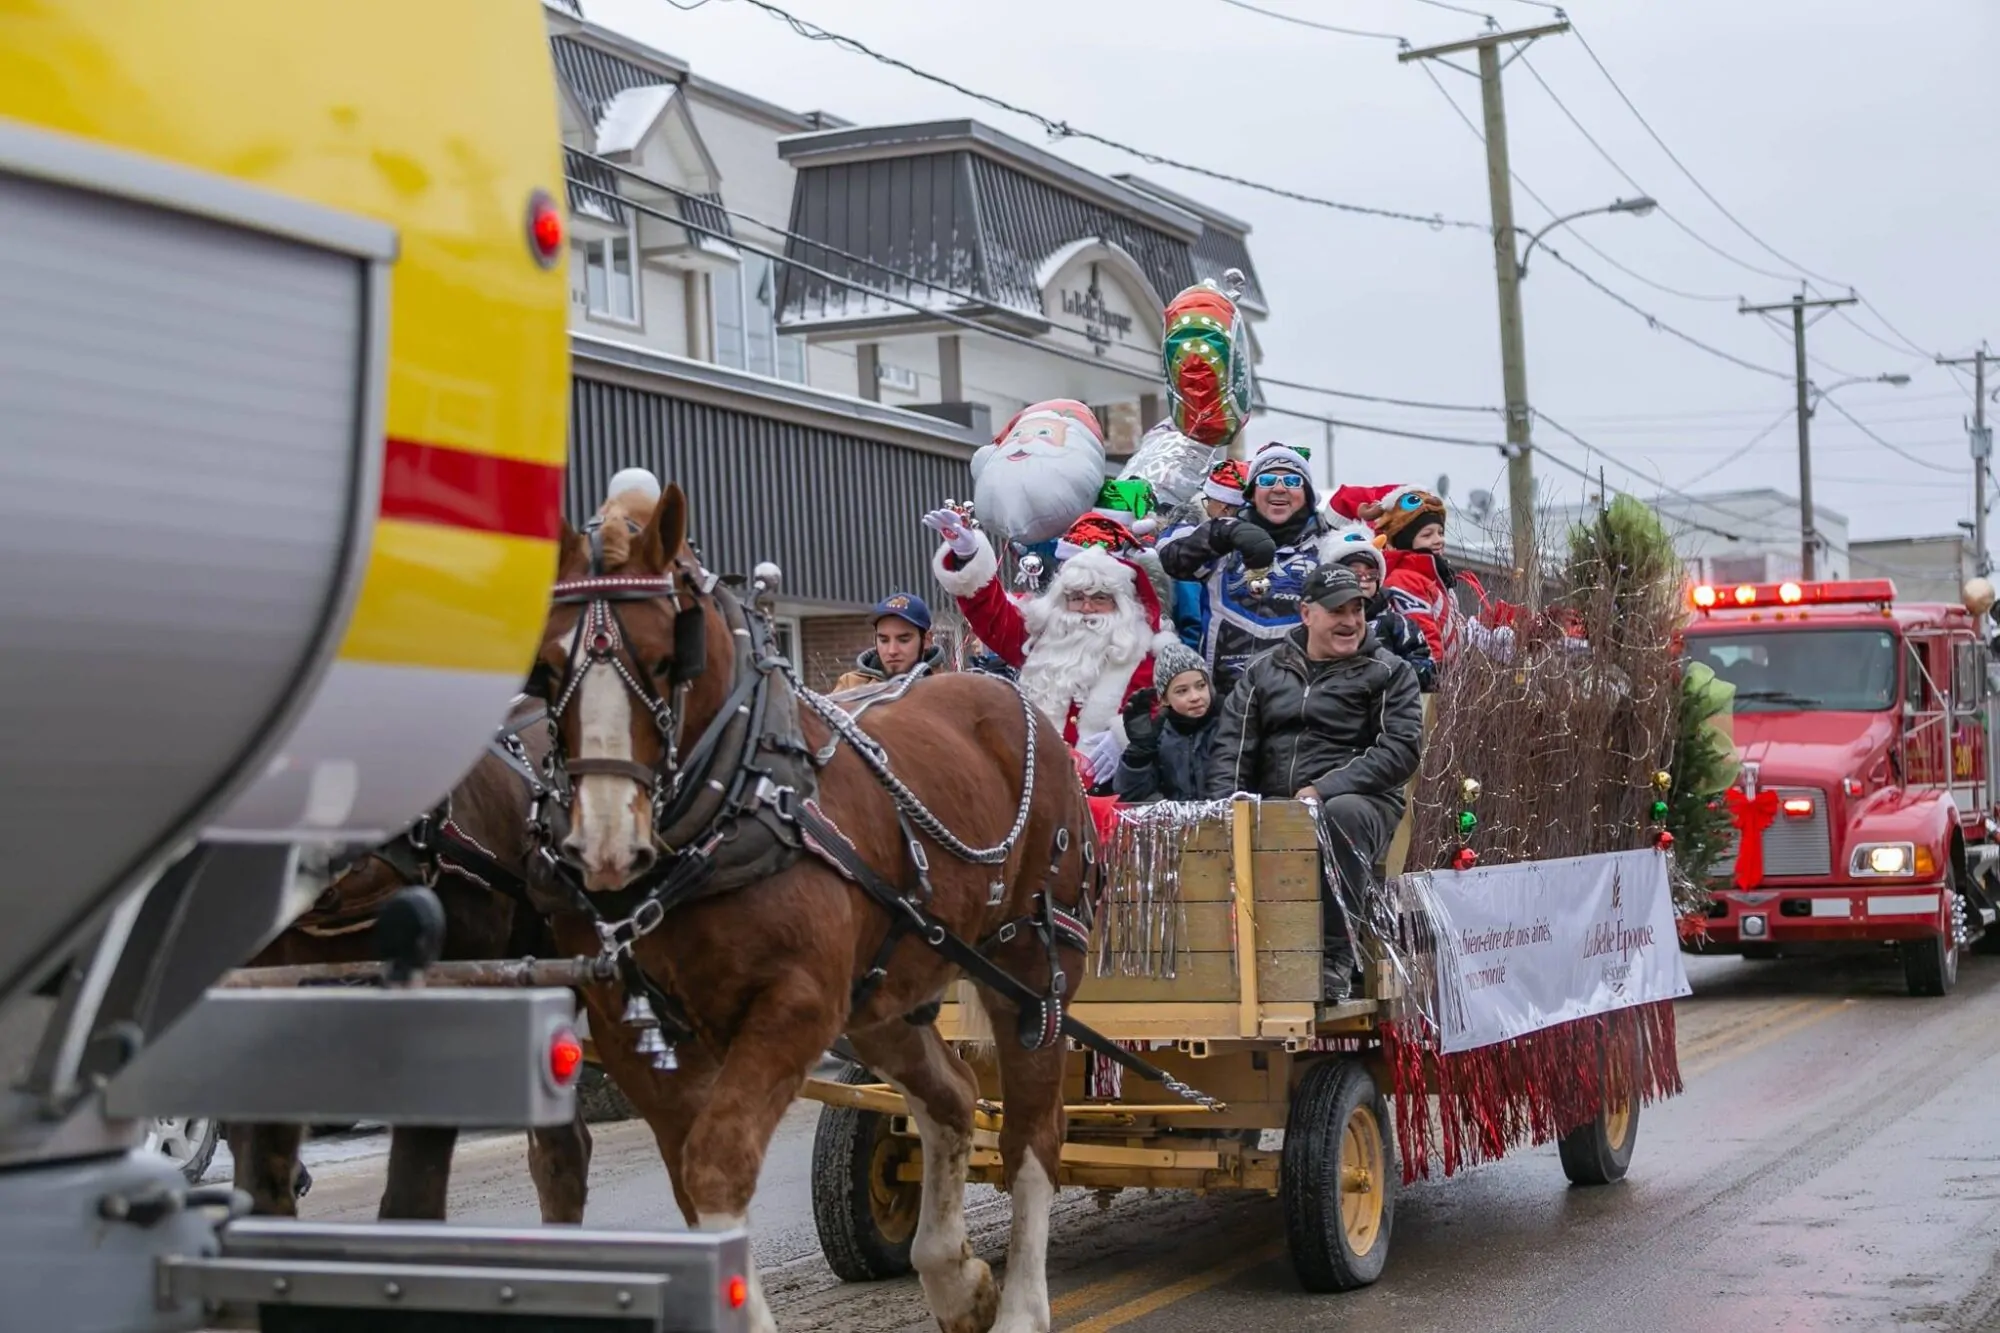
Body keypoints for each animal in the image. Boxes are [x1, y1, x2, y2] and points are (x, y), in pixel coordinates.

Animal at [532, 486, 1096, 1328]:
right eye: (542, 669)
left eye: (669, 658)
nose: (604, 847)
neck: (731, 803)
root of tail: (1015, 698)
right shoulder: (632, 1031)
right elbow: (691, 1181)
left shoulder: (793, 1004)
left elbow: (716, 1163)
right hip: (884, 993)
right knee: (955, 1097)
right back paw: (954, 1276)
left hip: (1029, 963)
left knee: (1033, 1134)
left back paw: (1022, 1305)